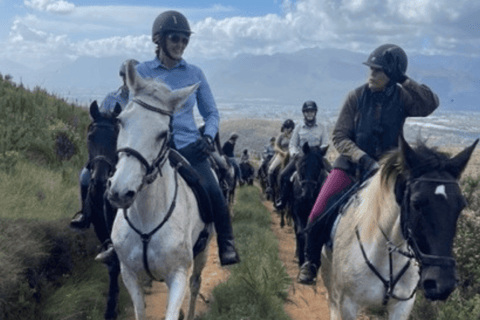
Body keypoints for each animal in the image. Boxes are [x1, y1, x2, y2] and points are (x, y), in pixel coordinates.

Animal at [109, 60, 214, 320]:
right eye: (121, 121)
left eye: (163, 134)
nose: (120, 192)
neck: (147, 219)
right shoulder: (129, 275)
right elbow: (140, 311)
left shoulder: (177, 275)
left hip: (203, 252)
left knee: (195, 284)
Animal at [320, 136, 478, 318]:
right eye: (416, 203)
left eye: (461, 206)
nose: (442, 284)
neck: (385, 257)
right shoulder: (348, 304)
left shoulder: (402, 307)